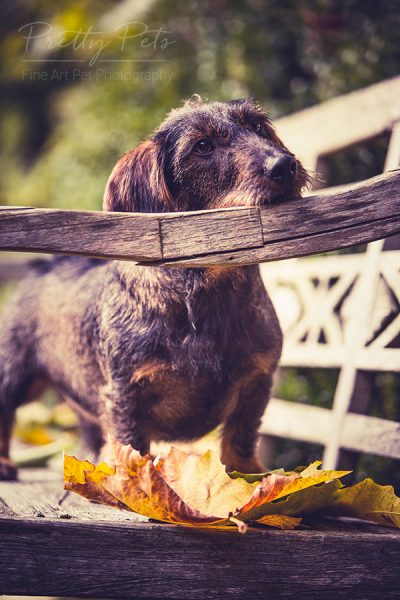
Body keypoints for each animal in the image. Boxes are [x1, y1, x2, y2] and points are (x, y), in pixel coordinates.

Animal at [0, 99, 308, 482]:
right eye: (202, 146)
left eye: (258, 126)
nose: (284, 164)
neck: (205, 295)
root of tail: (41, 269)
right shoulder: (125, 392)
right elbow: (131, 446)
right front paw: (135, 484)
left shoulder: (258, 379)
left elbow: (242, 434)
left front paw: (248, 474)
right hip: (14, 376)